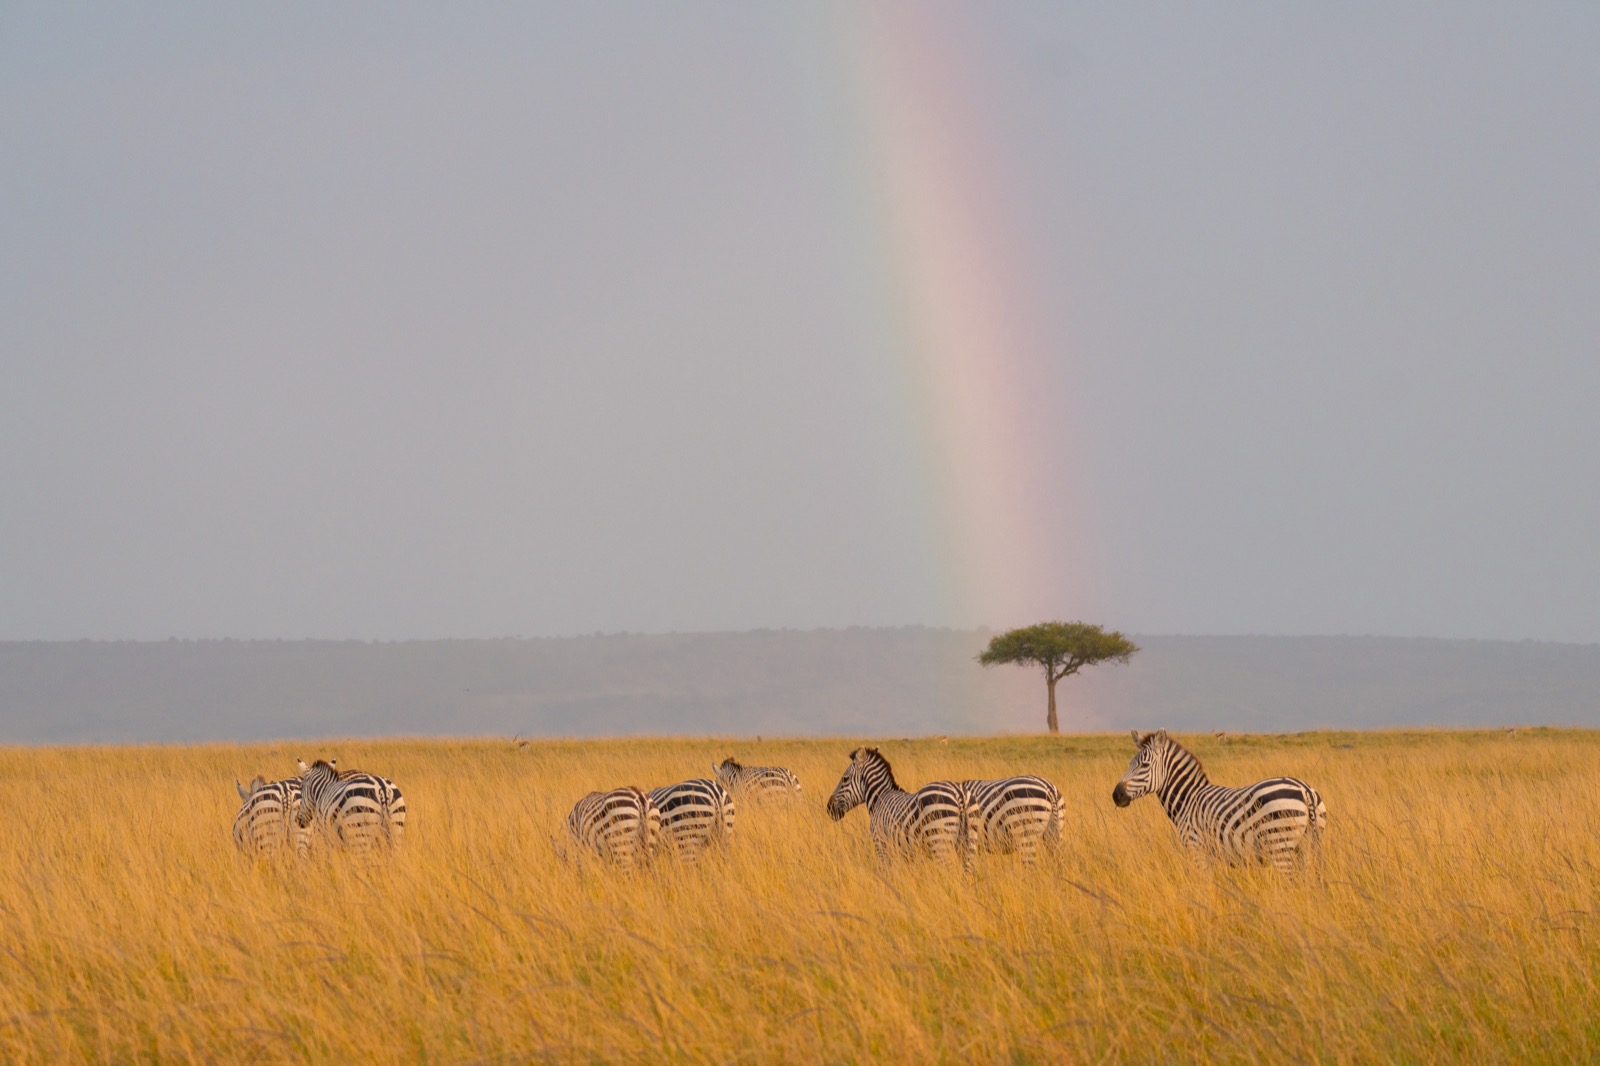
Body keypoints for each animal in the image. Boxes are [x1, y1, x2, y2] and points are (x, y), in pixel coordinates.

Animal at [826, 747, 973, 869]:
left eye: (845, 779)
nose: (829, 808)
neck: (880, 797)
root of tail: (959, 794)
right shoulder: (906, 853)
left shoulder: (881, 843)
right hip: (967, 844)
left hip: (940, 841)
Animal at [1112, 729, 1326, 871]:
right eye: (1130, 763)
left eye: (1144, 765)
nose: (1116, 795)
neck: (1187, 800)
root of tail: (1305, 790)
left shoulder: (1196, 847)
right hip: (1305, 848)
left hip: (1279, 845)